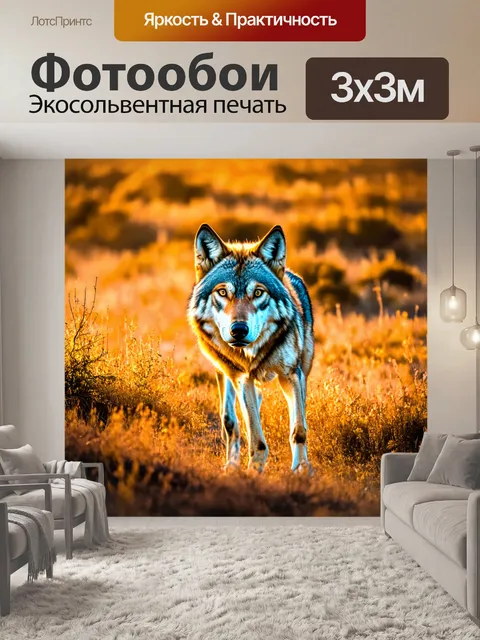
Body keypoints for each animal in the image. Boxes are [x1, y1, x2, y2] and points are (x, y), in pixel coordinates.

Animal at [188, 224, 314, 474]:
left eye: (257, 293)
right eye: (222, 292)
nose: (238, 329)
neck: (253, 352)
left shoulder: (291, 375)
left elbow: (298, 429)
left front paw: (301, 470)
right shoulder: (242, 378)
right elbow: (255, 436)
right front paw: (254, 470)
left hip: (299, 373)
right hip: (225, 373)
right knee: (231, 420)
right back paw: (231, 463)